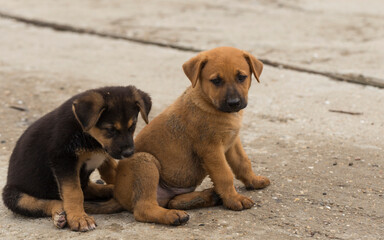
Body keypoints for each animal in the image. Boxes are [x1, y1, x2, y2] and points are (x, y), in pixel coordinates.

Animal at [1, 86, 152, 231]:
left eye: (133, 126)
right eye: (110, 129)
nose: (129, 153)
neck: (87, 134)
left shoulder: (103, 153)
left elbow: (112, 170)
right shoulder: (63, 159)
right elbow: (73, 192)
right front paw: (79, 218)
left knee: (87, 188)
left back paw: (109, 189)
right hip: (14, 197)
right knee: (51, 201)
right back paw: (59, 214)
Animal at [88, 46, 270, 225]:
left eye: (241, 77)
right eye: (216, 81)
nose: (234, 103)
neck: (209, 103)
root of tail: (117, 197)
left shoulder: (233, 142)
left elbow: (243, 163)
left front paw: (253, 181)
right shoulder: (211, 149)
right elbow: (224, 174)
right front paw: (234, 199)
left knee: (173, 201)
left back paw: (207, 196)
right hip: (145, 162)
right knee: (144, 209)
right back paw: (173, 215)